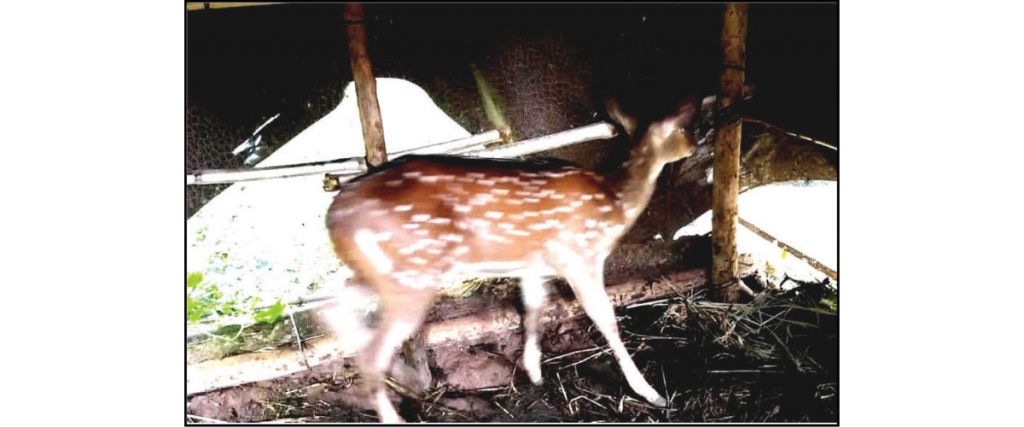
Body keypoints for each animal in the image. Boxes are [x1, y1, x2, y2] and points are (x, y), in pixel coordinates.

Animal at [326, 94, 701, 422]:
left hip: (381, 272)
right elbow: (605, 317)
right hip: (413, 275)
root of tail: (334, 217)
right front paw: (651, 393)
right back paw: (395, 413)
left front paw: (534, 371)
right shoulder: (580, 255)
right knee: (372, 350)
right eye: (683, 128)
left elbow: (533, 307)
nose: (695, 145)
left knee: (334, 308)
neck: (614, 203)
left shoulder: (533, 263)